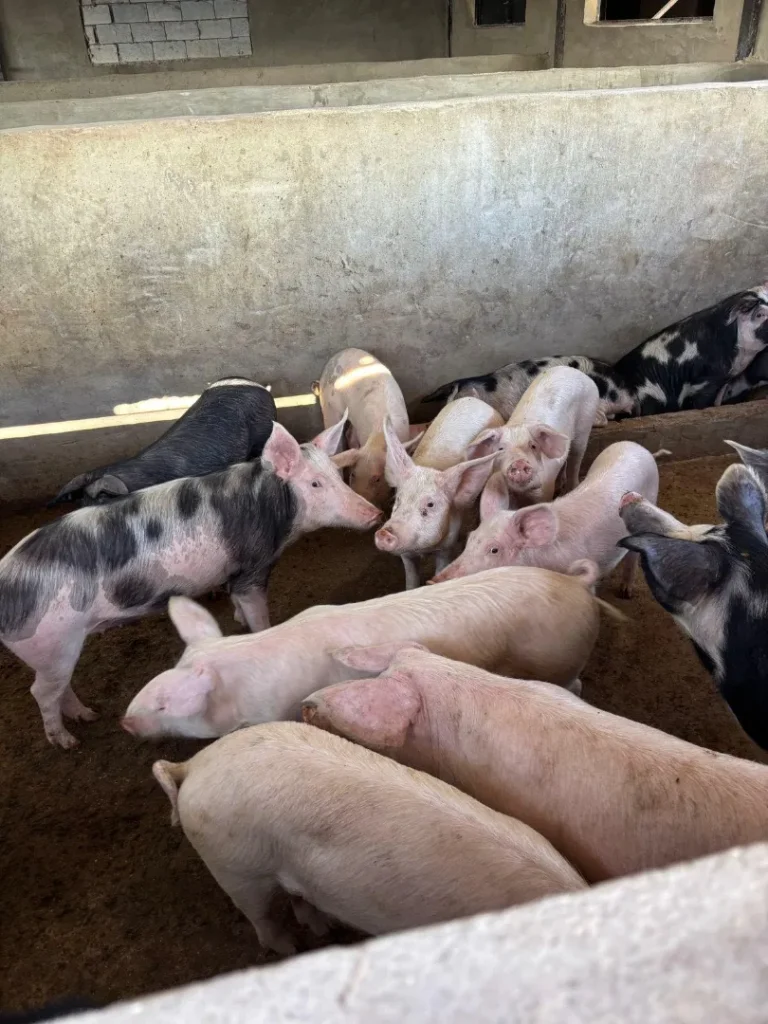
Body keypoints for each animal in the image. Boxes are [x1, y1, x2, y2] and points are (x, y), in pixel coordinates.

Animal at [1, 418, 380, 748]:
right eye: (315, 484)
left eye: (338, 476)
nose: (375, 514)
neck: (270, 509)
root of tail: (7, 580)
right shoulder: (253, 567)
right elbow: (257, 613)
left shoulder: (233, 573)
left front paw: (237, 618)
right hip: (52, 641)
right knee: (41, 692)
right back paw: (68, 741)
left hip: (57, 650)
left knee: (55, 686)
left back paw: (87, 715)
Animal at [152, 721, 585, 953]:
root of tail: (194, 765)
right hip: (234, 867)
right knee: (260, 918)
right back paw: (292, 948)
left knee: (297, 898)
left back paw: (325, 929)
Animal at [374, 397, 503, 589]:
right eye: (398, 499)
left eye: (430, 504)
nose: (385, 533)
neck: (423, 550)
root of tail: (475, 399)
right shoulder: (407, 555)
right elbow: (411, 578)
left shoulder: (447, 545)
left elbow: (441, 566)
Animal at [433, 441, 660, 598]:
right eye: (470, 539)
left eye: (494, 549)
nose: (435, 580)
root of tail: (637, 446)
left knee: (632, 557)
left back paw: (625, 592)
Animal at [466, 366, 599, 504]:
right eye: (500, 449)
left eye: (533, 446)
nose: (519, 462)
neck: (523, 494)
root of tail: (575, 371)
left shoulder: (544, 490)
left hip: (586, 421)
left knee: (576, 458)